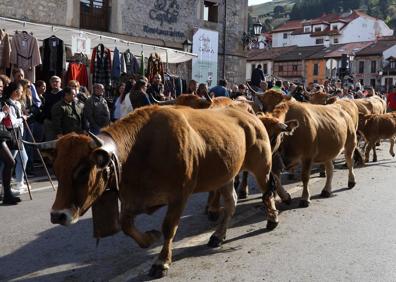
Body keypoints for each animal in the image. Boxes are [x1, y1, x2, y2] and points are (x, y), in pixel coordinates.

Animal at [37, 103, 278, 278]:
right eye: (56, 170)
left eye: (83, 170)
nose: (58, 215)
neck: (141, 150)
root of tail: (250, 115)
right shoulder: (135, 199)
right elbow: (125, 225)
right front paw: (149, 238)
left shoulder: (179, 195)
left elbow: (169, 227)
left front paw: (161, 262)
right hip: (226, 175)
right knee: (231, 202)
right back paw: (218, 235)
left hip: (262, 166)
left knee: (268, 190)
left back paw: (272, 219)